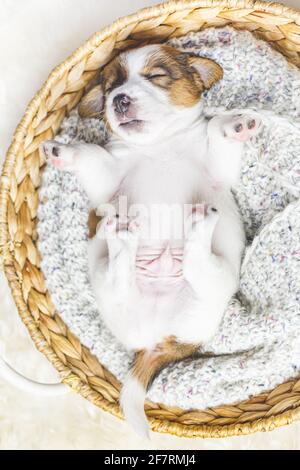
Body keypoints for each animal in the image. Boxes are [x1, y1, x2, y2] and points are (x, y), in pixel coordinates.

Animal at [40, 44, 262, 436]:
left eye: (156, 76)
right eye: (111, 87)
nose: (120, 100)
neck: (160, 146)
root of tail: (158, 343)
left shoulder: (218, 170)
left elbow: (216, 132)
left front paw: (235, 124)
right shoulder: (108, 179)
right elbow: (91, 155)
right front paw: (63, 152)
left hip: (215, 285)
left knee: (197, 266)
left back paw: (196, 225)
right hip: (107, 281)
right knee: (120, 275)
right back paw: (123, 237)